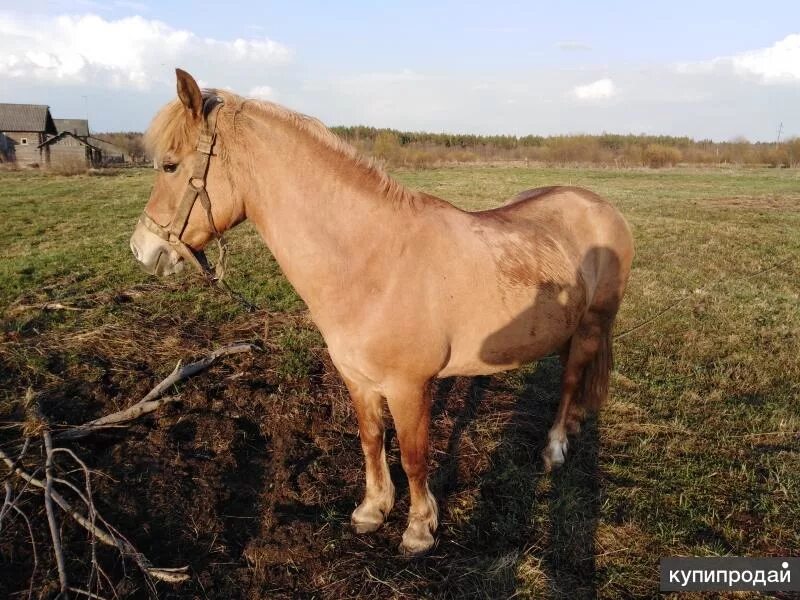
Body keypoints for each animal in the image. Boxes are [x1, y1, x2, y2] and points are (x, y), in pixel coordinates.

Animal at [130, 70, 632, 556]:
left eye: (170, 165)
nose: (142, 249)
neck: (374, 261)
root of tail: (602, 207)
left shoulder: (410, 387)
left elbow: (413, 455)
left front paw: (419, 529)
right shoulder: (357, 379)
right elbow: (372, 439)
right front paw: (373, 510)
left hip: (593, 323)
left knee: (570, 381)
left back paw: (555, 448)